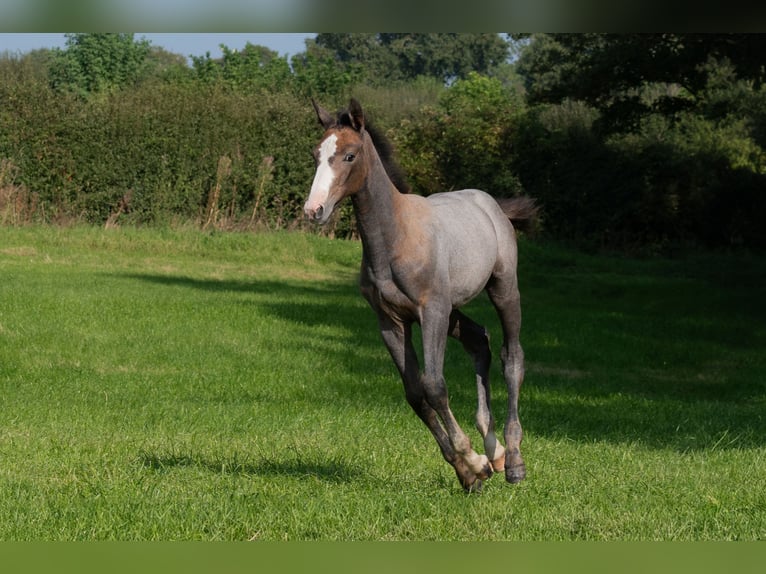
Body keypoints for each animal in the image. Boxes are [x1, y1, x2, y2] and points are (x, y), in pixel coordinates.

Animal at [304, 98, 536, 490]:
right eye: (316, 154)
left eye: (350, 155)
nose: (313, 210)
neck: (395, 238)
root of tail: (491, 205)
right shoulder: (392, 322)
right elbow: (415, 394)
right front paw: (469, 470)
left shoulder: (432, 312)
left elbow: (434, 385)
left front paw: (471, 460)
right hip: (453, 308)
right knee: (479, 341)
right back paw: (495, 450)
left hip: (502, 288)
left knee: (512, 357)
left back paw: (514, 460)